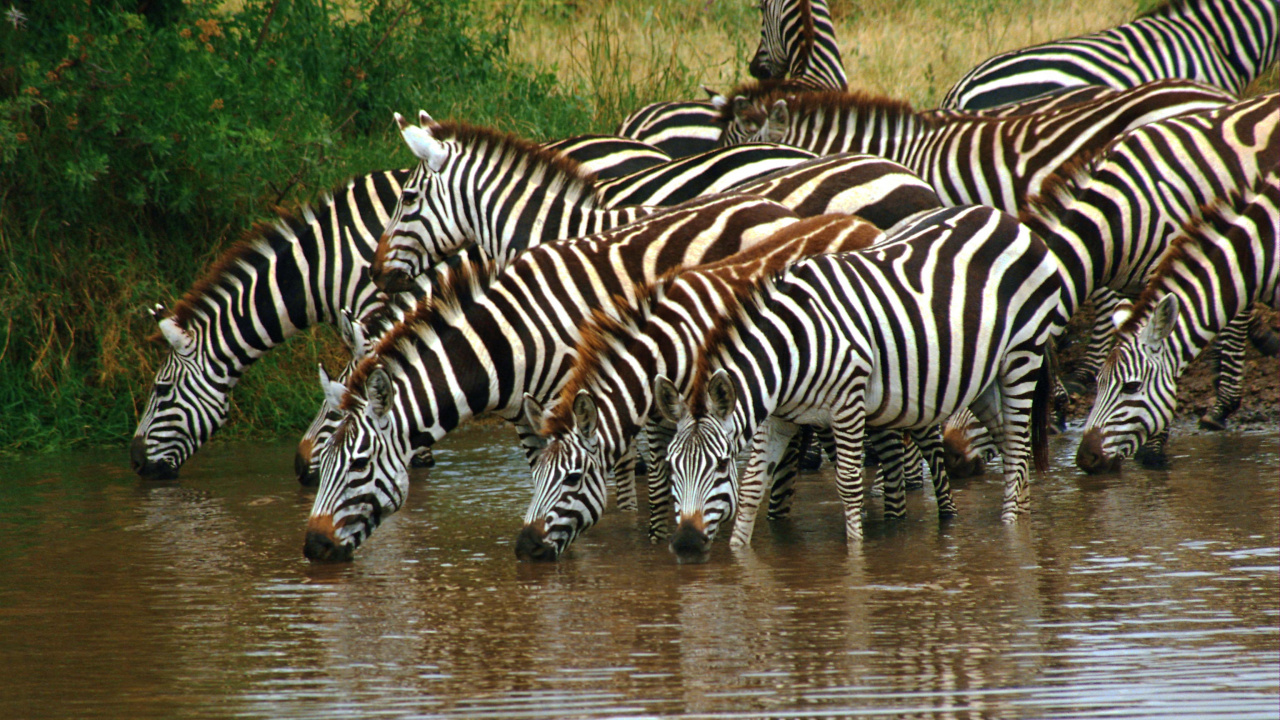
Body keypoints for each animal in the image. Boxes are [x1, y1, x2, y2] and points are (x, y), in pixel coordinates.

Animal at [302, 193, 805, 561]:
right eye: (326, 463)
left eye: (358, 465)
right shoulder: (529, 417)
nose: (313, 547)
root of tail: (777, 209)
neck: (508, 342)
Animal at [654, 205, 1065, 557]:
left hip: (1021, 354)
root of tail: (1005, 218)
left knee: (1018, 451)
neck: (793, 348)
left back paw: (1012, 534)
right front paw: (740, 556)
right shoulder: (779, 416)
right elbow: (754, 485)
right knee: (1013, 450)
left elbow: (849, 485)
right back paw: (1021, 520)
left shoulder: (848, 402)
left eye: (722, 465)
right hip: (981, 377)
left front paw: (856, 557)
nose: (686, 543)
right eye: (672, 465)